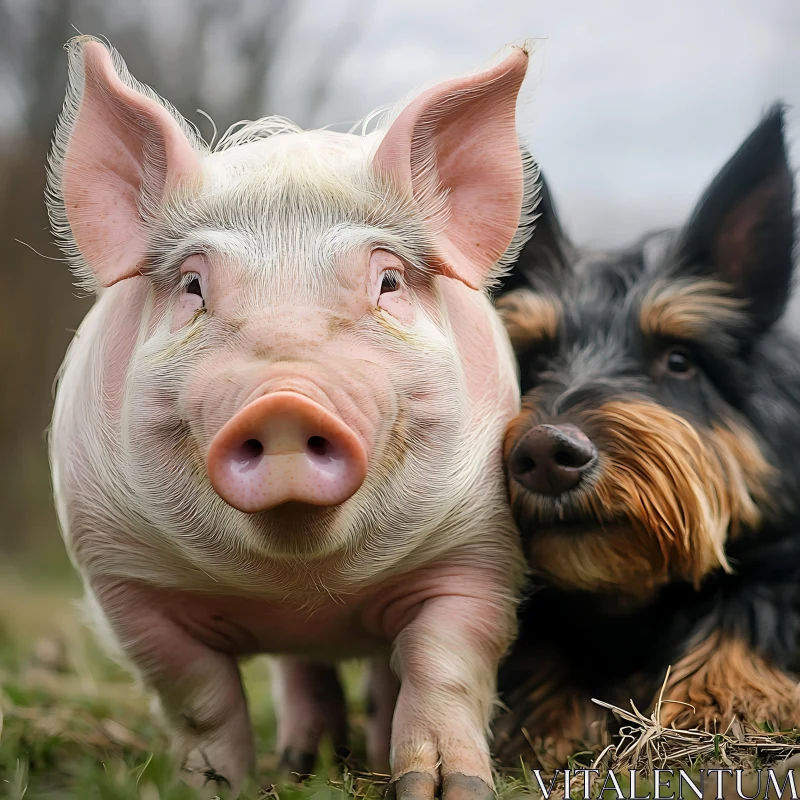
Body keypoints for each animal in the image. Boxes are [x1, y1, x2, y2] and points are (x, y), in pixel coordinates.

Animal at [48, 34, 536, 796]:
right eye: (193, 286)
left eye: (388, 280)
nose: (283, 399)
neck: (302, 583)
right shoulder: (123, 575)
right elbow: (198, 696)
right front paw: (213, 784)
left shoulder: (480, 548)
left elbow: (443, 666)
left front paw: (443, 788)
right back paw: (303, 761)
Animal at [494, 106, 800, 768]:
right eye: (534, 361)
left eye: (680, 360)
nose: (546, 454)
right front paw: (545, 722)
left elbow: (750, 610)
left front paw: (717, 699)